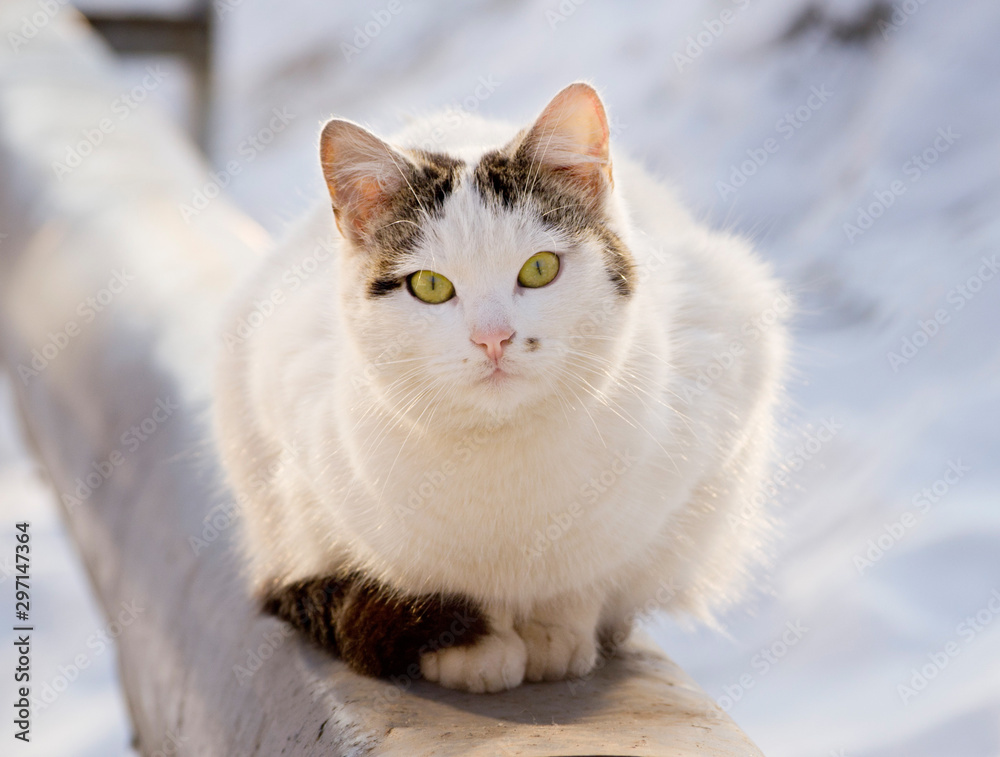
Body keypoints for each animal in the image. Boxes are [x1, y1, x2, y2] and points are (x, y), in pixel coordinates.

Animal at [213, 81, 788, 692]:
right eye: (430, 285)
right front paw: (475, 647)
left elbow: (591, 571)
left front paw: (556, 631)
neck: (502, 458)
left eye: (539, 269)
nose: (494, 338)